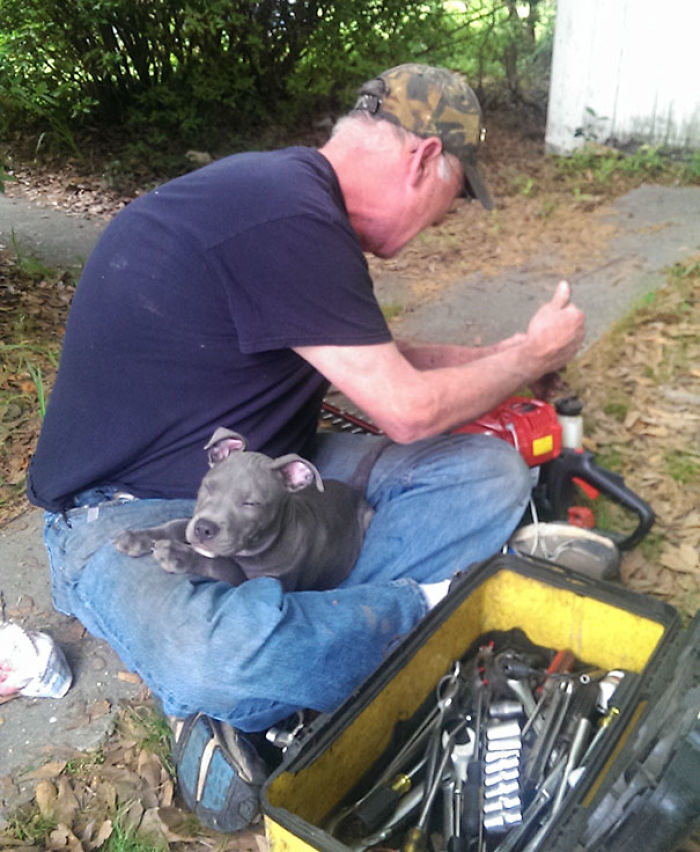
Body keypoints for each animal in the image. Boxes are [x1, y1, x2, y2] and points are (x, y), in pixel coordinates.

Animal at [113, 430, 374, 588]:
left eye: (251, 504)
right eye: (208, 486)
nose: (204, 529)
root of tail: (355, 491)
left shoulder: (258, 586)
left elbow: (222, 565)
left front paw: (177, 553)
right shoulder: (191, 520)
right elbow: (175, 525)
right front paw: (136, 537)